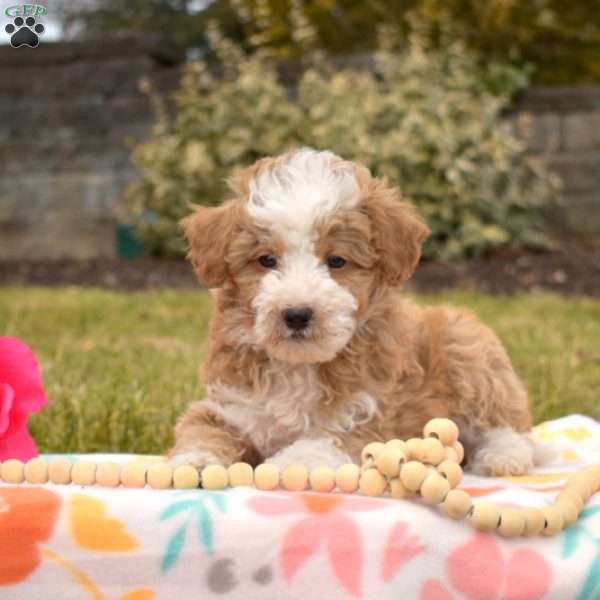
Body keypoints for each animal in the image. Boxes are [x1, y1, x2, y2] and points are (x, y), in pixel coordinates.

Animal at [169, 148, 540, 476]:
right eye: (266, 260)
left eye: (336, 261)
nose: (296, 314)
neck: (298, 366)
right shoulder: (231, 405)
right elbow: (202, 428)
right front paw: (195, 460)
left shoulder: (366, 413)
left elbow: (323, 439)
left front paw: (293, 462)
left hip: (466, 346)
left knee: (509, 424)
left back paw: (503, 457)